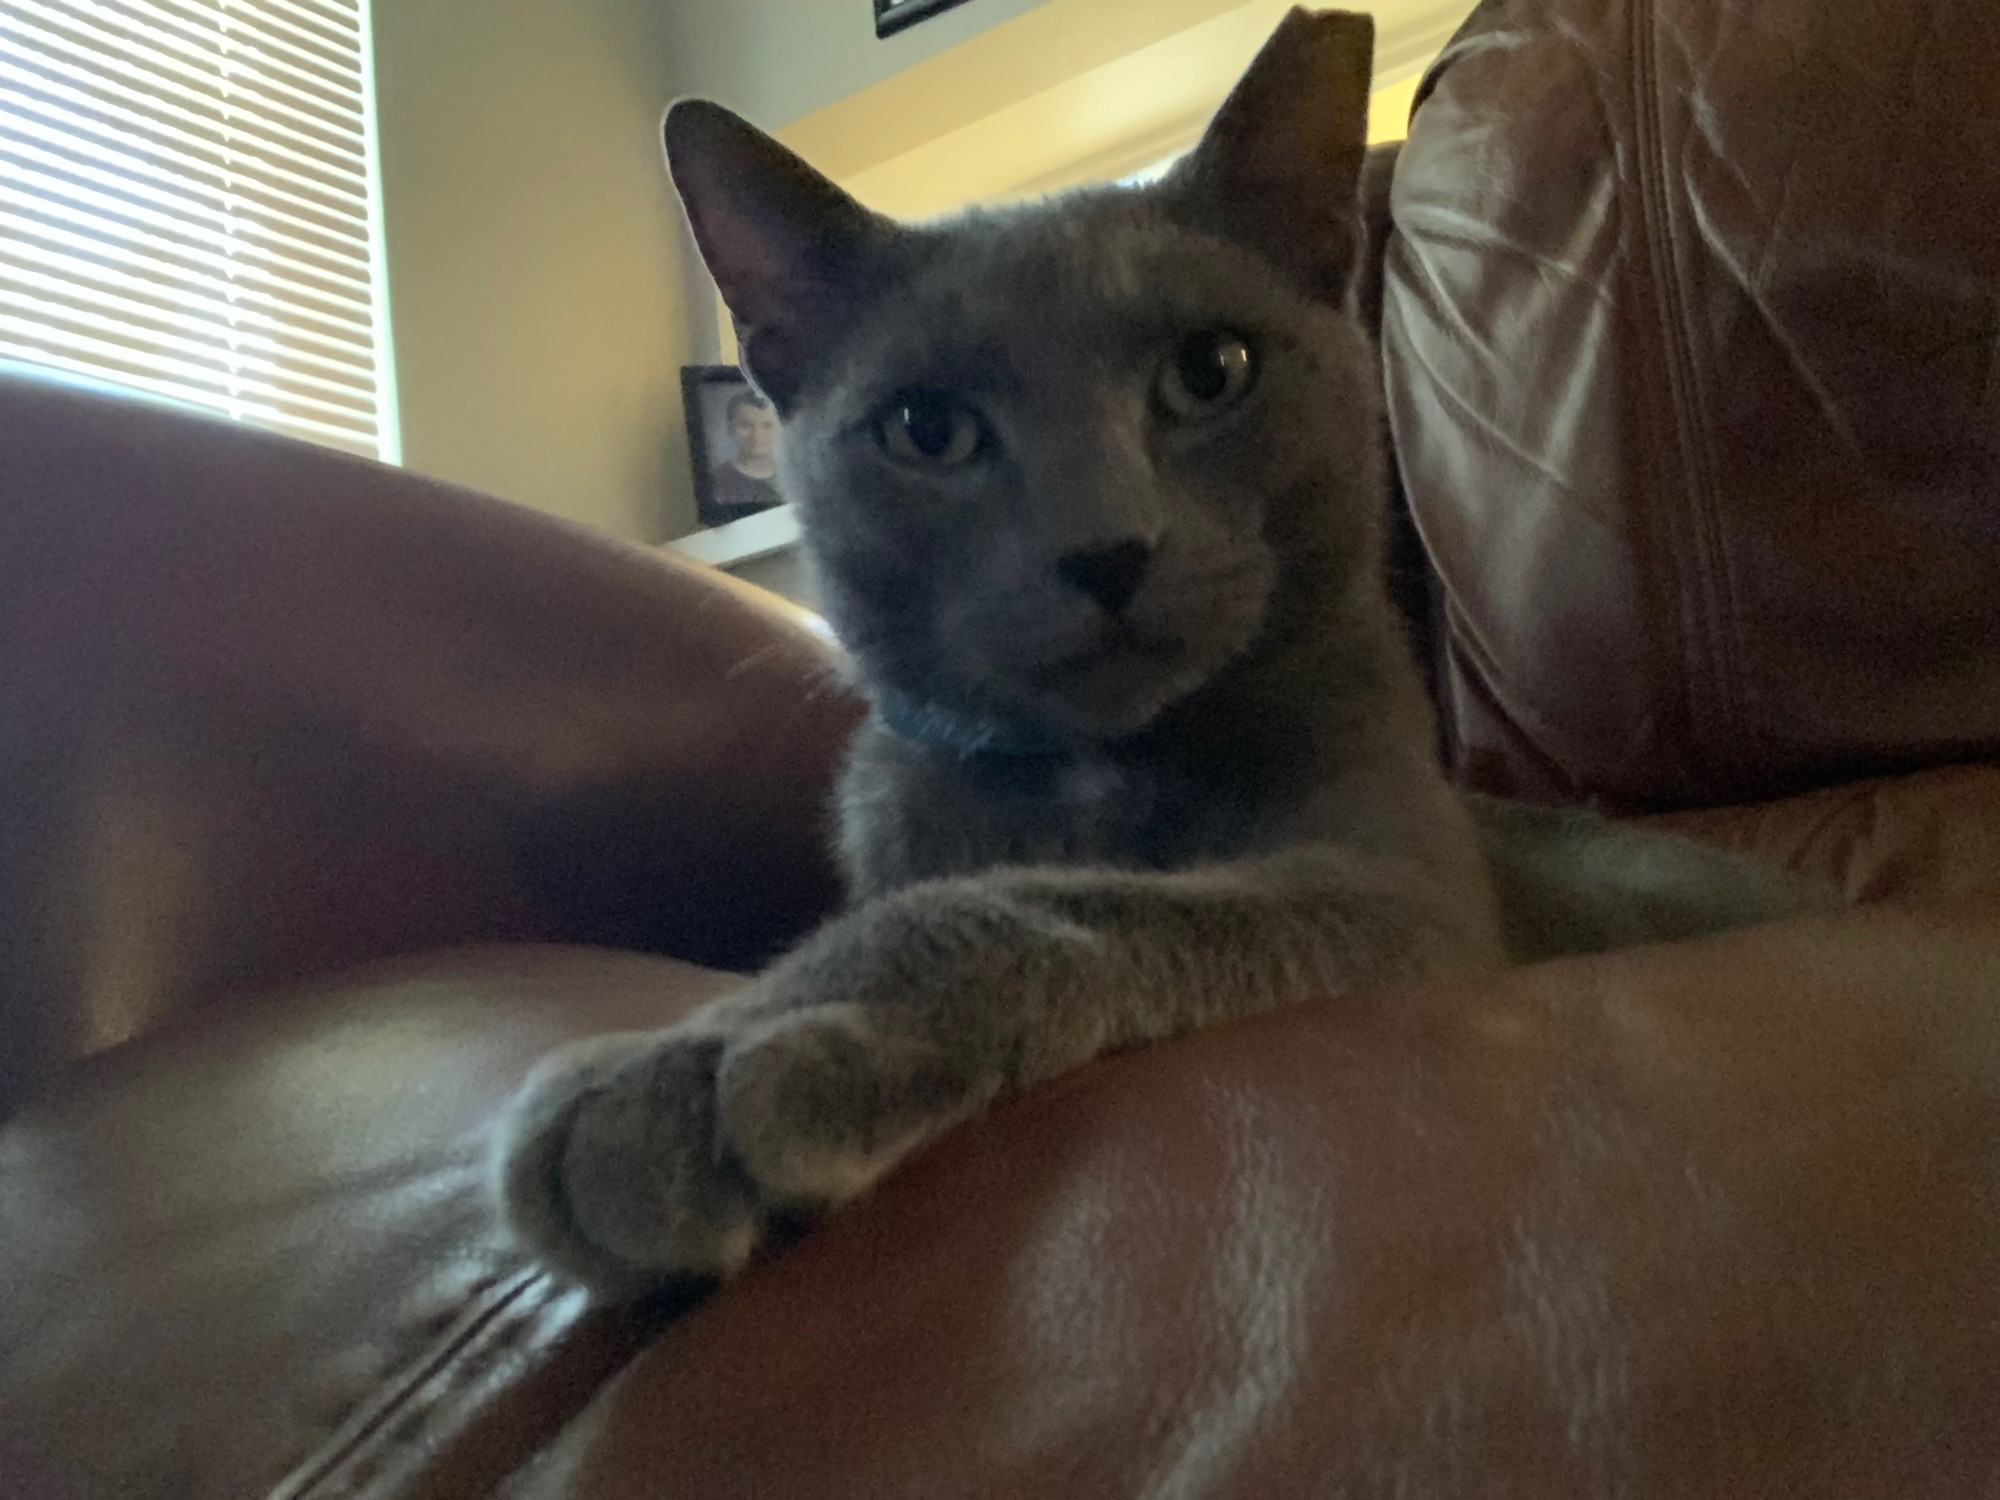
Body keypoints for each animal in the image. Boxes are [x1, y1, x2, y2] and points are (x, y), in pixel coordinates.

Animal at [492, 8, 1824, 1304]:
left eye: (1209, 370)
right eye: (926, 429)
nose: (1105, 550)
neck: (1101, 770)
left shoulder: (1403, 895)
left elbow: (1070, 902)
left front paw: (724, 1058)